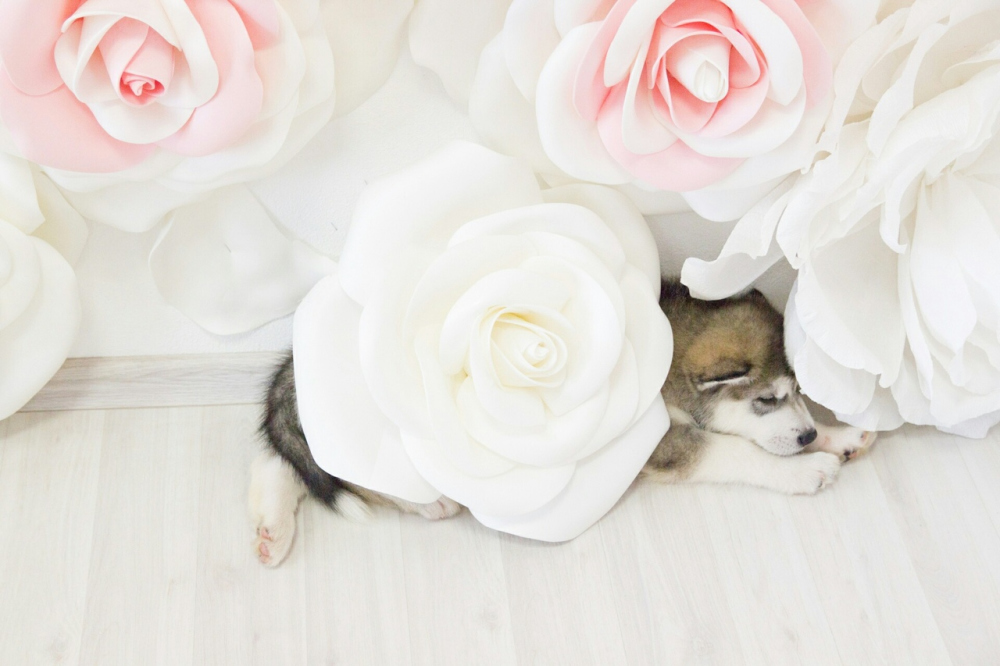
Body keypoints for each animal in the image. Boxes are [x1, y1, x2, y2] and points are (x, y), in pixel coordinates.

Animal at [249, 280, 874, 566]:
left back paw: (272, 529)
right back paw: (427, 503)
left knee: (284, 462)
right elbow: (735, 451)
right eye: (766, 398)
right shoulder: (657, 444)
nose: (809, 436)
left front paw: (839, 435)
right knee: (342, 472)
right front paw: (808, 468)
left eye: (797, 393)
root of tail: (295, 372)